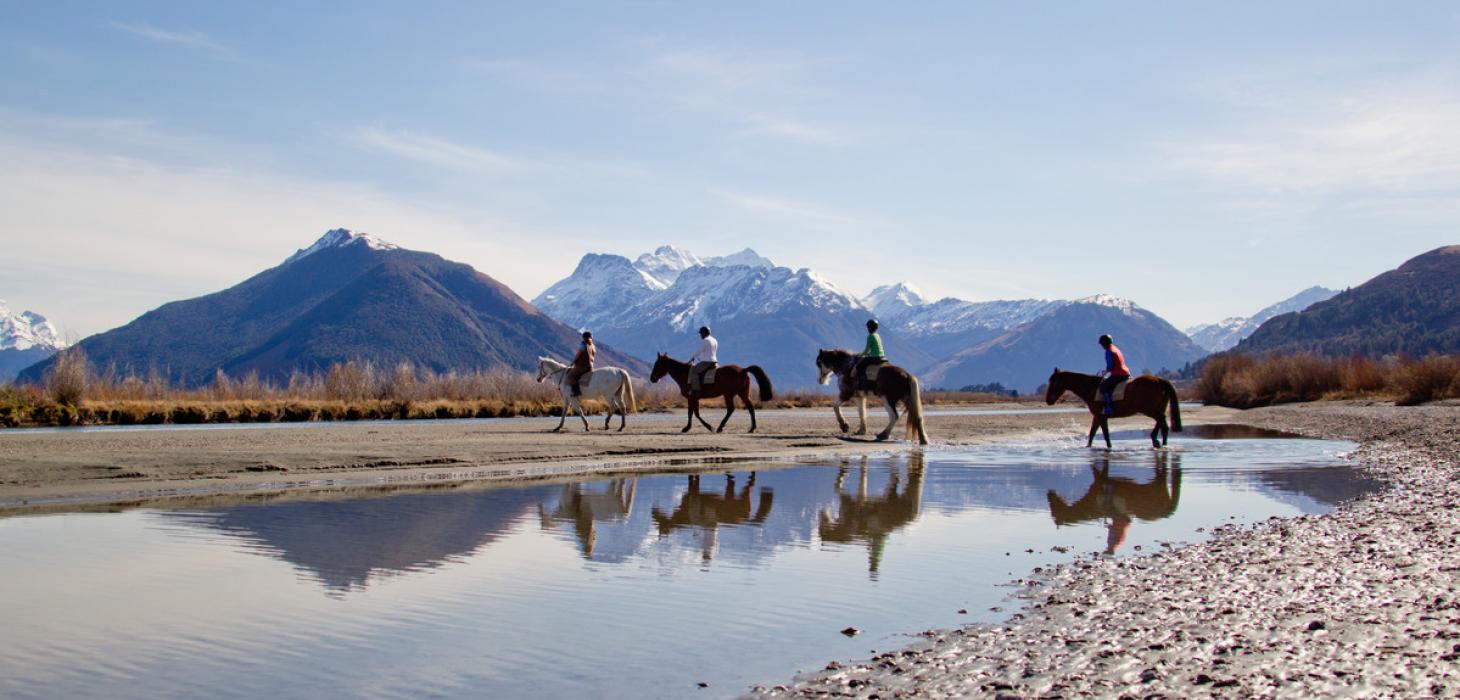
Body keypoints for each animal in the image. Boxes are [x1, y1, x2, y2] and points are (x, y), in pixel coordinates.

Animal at [1044, 368, 1182, 448]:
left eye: (1054, 382)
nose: (1048, 400)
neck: (1092, 388)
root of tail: (1159, 380)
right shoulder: (1097, 416)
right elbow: (1092, 434)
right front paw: (1088, 448)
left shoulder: (1101, 416)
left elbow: (1105, 434)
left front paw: (1109, 448)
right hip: (1158, 408)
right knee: (1164, 425)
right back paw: (1161, 443)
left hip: (1149, 409)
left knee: (1161, 419)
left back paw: (1154, 439)